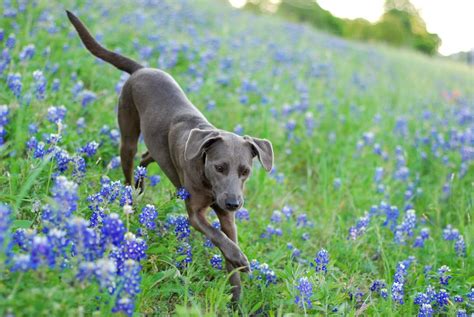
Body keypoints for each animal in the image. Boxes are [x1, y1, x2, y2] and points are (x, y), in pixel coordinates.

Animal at [66, 11, 274, 300]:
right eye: (219, 167)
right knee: (130, 167)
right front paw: (241, 260)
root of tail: (141, 69)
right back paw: (132, 197)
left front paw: (236, 297)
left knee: (146, 159)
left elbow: (227, 246)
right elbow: (217, 237)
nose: (234, 203)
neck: (208, 180)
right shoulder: (196, 213)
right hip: (128, 134)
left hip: (157, 149)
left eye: (245, 171)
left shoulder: (226, 215)